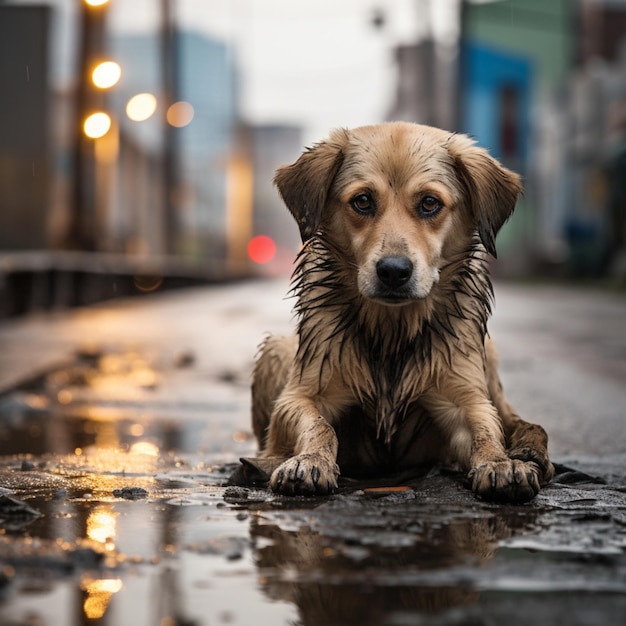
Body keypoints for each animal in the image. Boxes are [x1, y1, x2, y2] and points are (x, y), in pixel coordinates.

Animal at [249, 122, 552, 502]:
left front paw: (500, 463)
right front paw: (308, 461)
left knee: (526, 424)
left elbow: (486, 428)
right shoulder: (300, 395)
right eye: (363, 201)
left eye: (429, 203)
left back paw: (530, 453)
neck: (392, 329)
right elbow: (319, 425)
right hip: (275, 348)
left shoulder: (463, 398)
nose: (393, 271)